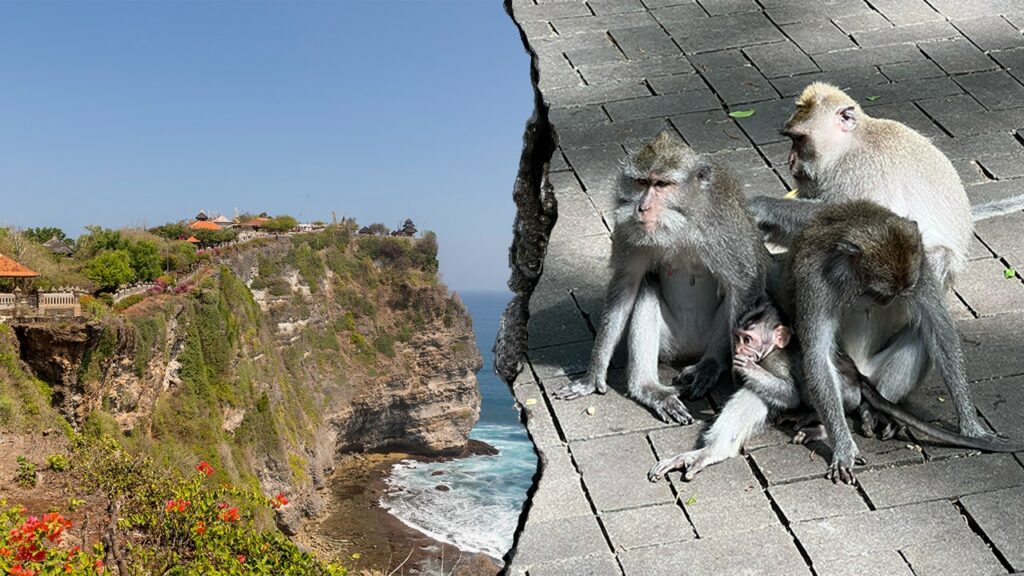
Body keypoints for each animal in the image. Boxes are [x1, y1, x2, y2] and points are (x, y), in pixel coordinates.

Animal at [553, 131, 770, 424]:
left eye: (662, 184)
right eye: (642, 182)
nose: (642, 207)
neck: (681, 224)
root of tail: (689, 350)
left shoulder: (724, 229)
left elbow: (744, 282)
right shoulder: (628, 231)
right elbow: (626, 284)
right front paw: (593, 374)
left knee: (730, 296)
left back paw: (710, 364)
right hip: (670, 344)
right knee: (647, 286)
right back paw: (648, 388)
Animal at [648, 293, 1022, 483]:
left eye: (748, 339)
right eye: (738, 338)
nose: (738, 350)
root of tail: (861, 377)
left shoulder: (783, 360)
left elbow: (794, 391)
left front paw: (749, 369)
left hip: (850, 391)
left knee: (824, 387)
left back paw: (821, 427)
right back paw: (706, 453)